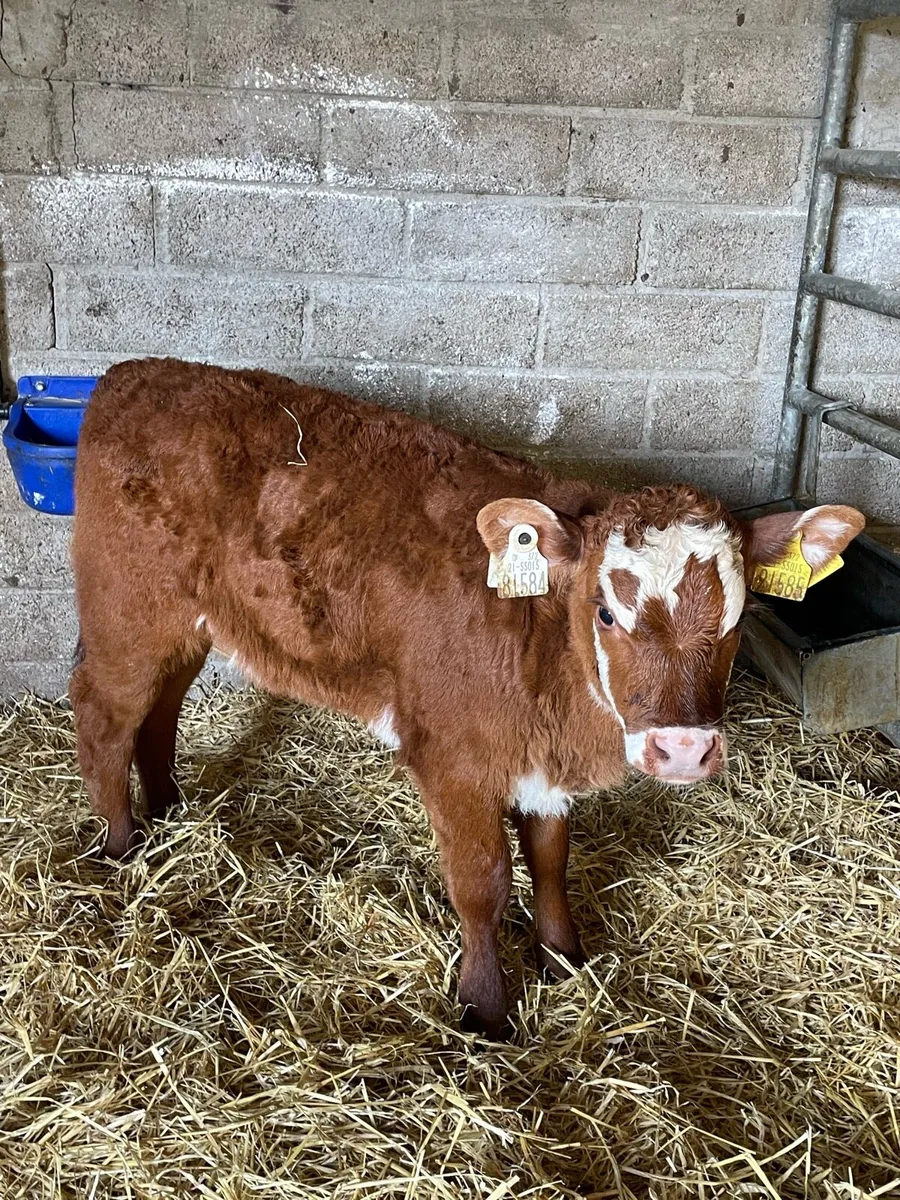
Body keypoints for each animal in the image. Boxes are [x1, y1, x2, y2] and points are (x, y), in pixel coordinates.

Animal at [69, 357, 865, 1038]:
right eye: (606, 612)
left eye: (739, 617)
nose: (683, 749)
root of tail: (133, 375)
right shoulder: (452, 757)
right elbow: (482, 882)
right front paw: (485, 1007)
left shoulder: (541, 763)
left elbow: (549, 857)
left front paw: (562, 957)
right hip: (128, 609)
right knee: (106, 715)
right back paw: (122, 848)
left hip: (189, 623)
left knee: (159, 710)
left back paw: (169, 810)